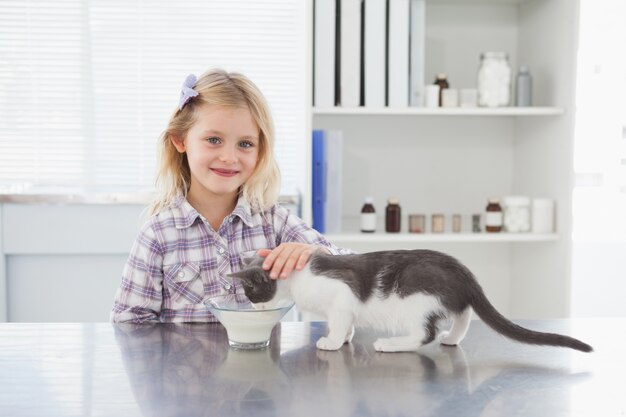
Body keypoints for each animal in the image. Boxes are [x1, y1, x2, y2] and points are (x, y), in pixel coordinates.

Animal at [228, 250, 588, 352]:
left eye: (252, 294)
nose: (255, 309)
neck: (297, 277)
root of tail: (463, 271)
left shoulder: (341, 295)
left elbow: (339, 319)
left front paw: (331, 341)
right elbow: (346, 324)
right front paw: (343, 339)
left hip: (415, 295)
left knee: (424, 334)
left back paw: (391, 344)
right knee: (463, 313)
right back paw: (452, 338)